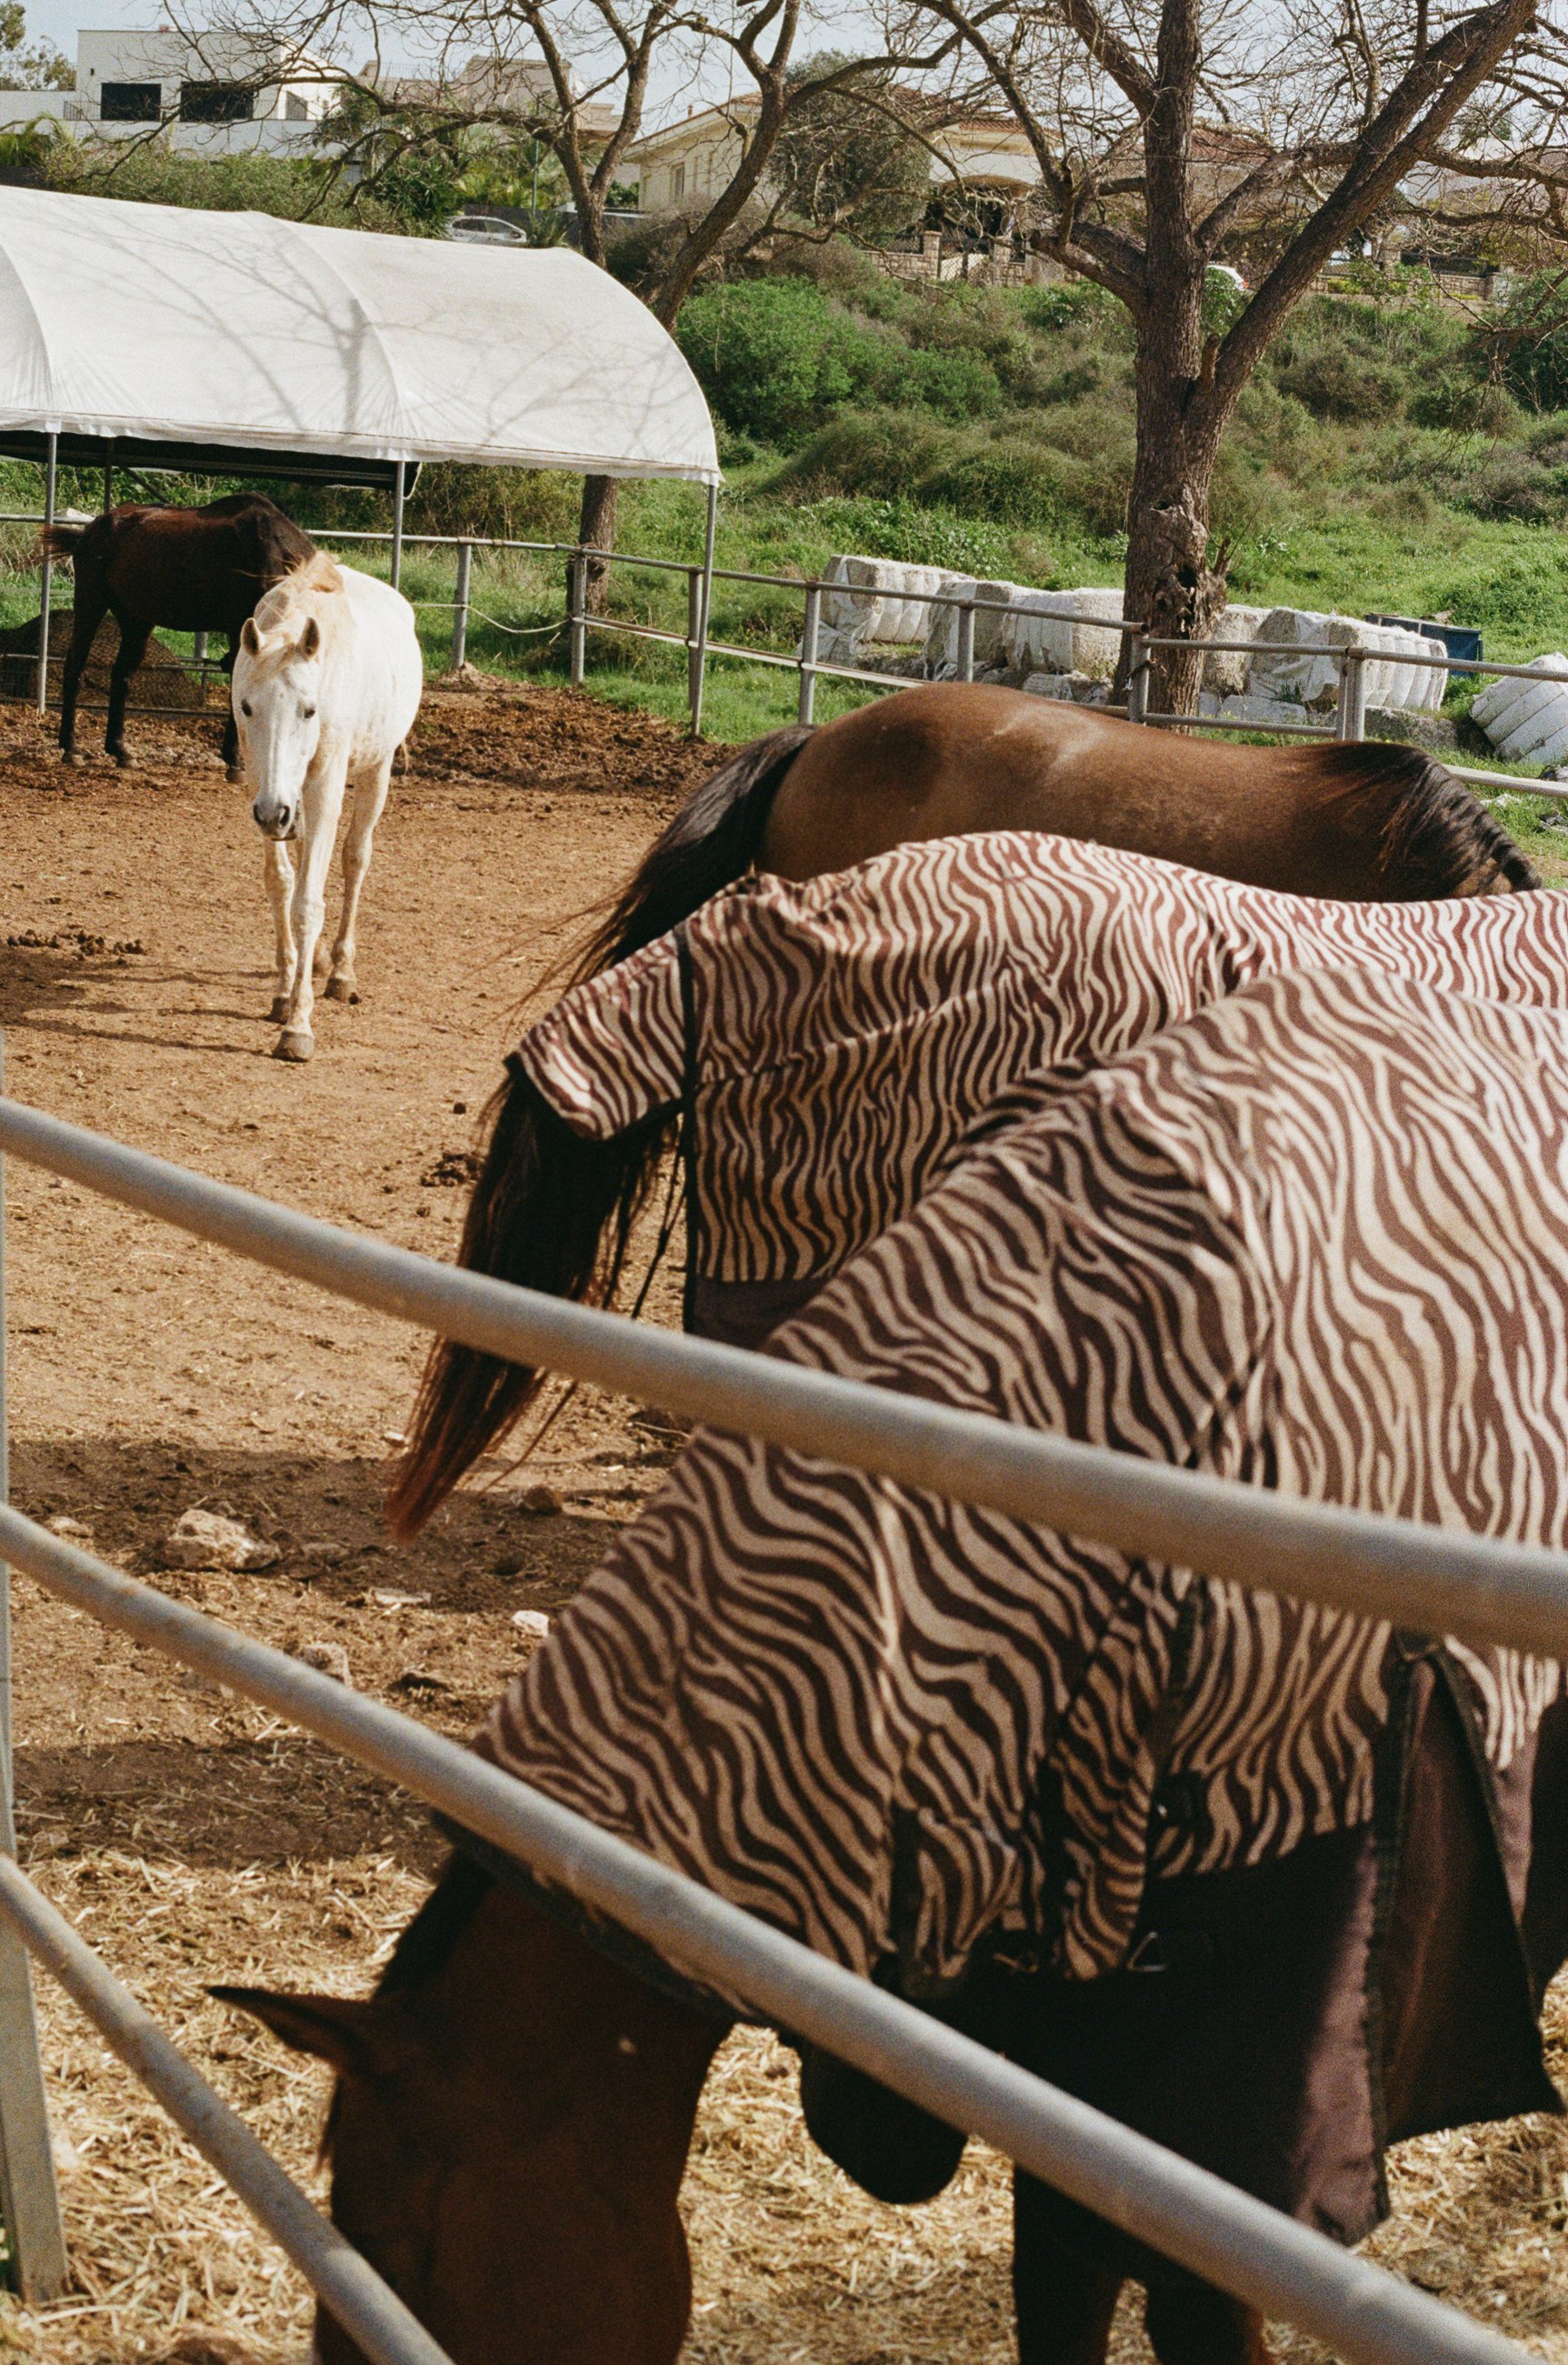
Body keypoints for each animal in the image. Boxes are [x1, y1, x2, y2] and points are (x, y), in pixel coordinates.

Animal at [41, 493, 316, 778]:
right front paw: (234, 761)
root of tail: (89, 531)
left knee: (121, 676)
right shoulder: (240, 630)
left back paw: (120, 750)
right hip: (91, 604)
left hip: (136, 622)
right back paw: (70, 748)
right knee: (75, 666)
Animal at [233, 554, 423, 1064]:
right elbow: (281, 884)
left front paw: (298, 1027)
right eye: (248, 708)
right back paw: (316, 961)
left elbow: (308, 903)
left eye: (309, 710)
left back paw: (340, 971)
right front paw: (284, 993)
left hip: (375, 771)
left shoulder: (323, 788)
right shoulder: (262, 786)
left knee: (355, 860)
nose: (271, 814)